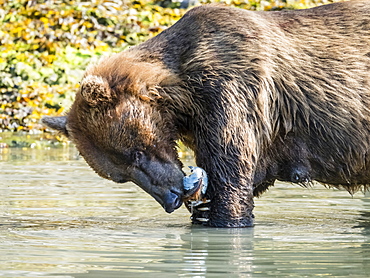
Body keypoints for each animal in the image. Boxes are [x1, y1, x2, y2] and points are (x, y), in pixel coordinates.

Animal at [42, 1, 370, 228]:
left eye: (136, 153)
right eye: (121, 176)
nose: (171, 198)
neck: (183, 97)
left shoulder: (233, 91)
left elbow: (232, 174)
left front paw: (220, 217)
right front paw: (201, 209)